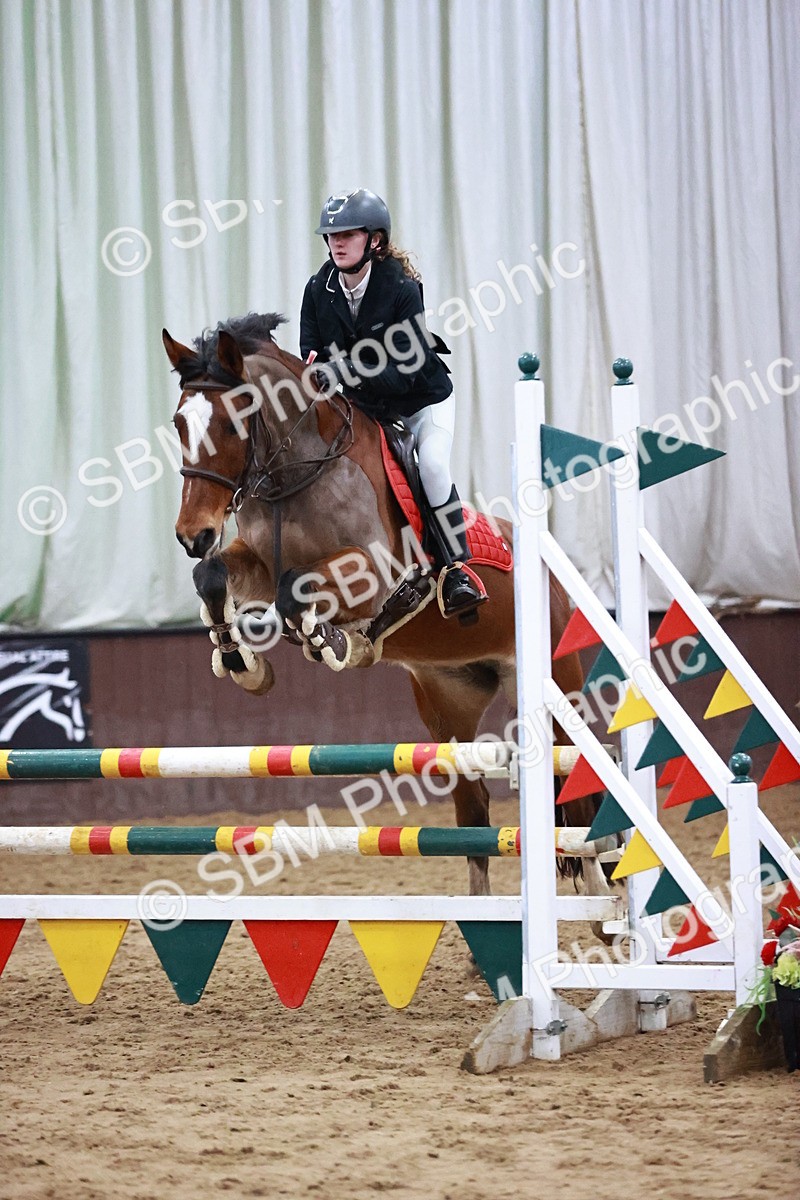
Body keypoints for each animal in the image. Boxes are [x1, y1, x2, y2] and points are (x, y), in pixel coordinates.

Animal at [162, 312, 608, 902]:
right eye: (179, 423)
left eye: (234, 424)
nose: (193, 534)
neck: (297, 475)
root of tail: (552, 580)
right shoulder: (253, 561)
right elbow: (215, 577)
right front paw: (241, 659)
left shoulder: (370, 574)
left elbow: (295, 589)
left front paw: (334, 642)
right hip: (448, 706)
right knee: (474, 808)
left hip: (559, 687)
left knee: (578, 797)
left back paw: (603, 904)